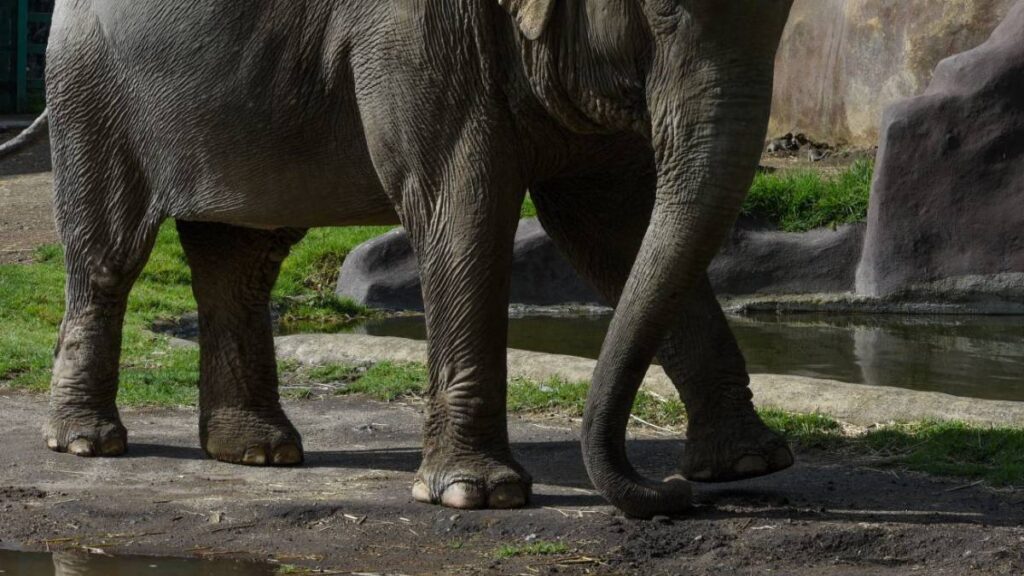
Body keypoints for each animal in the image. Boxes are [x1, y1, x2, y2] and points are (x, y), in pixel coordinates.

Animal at [20, 0, 795, 517]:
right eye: (663, 7)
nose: (670, 490)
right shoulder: (415, 33)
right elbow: (464, 208)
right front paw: (478, 496)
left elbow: (609, 231)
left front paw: (750, 463)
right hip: (89, 87)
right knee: (109, 254)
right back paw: (89, 444)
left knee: (242, 257)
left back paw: (258, 451)